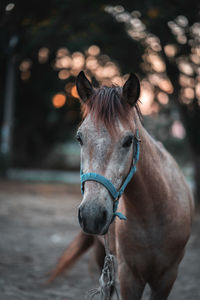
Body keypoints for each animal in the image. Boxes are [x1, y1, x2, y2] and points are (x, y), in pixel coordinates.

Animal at [50, 71, 194, 298]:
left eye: (128, 140)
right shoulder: (129, 277)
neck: (154, 216)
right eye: (79, 138)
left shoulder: (167, 278)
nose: (91, 215)